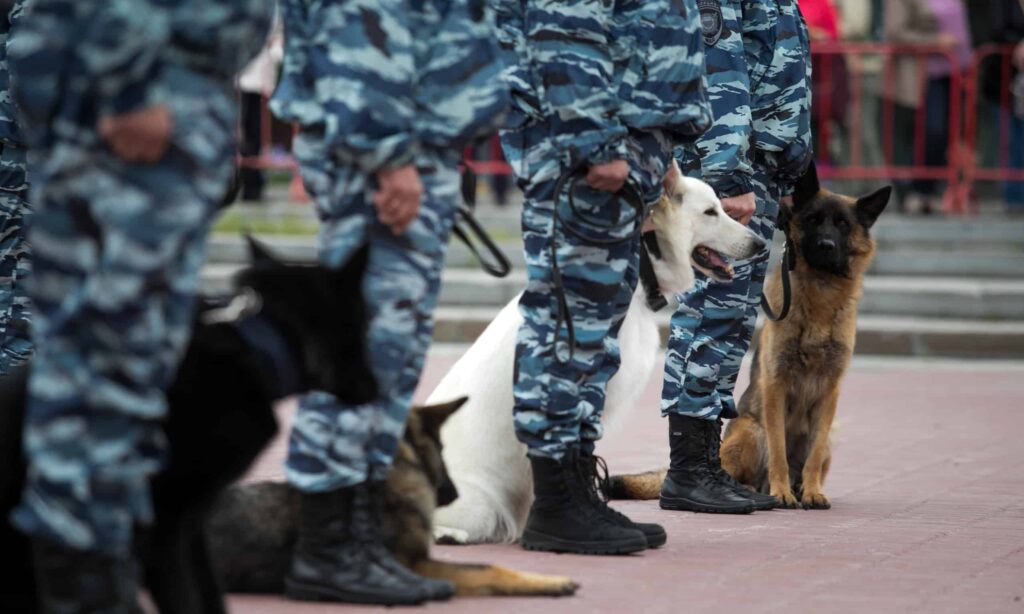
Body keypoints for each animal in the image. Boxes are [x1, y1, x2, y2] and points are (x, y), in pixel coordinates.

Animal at [0, 238, 376, 614]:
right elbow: (187, 597)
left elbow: (208, 593)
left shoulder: (191, 525)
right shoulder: (164, 526)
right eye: (366, 321)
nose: (378, 388)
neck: (257, 344)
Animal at [606, 165, 888, 511]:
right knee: (750, 470)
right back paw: (755, 490)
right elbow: (778, 449)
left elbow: (814, 452)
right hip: (750, 430)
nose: (825, 246)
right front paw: (781, 493)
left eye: (843, 224)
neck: (820, 296)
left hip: (830, 431)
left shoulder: (830, 392)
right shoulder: (775, 386)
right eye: (813, 220)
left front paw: (813, 492)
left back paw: (800, 488)